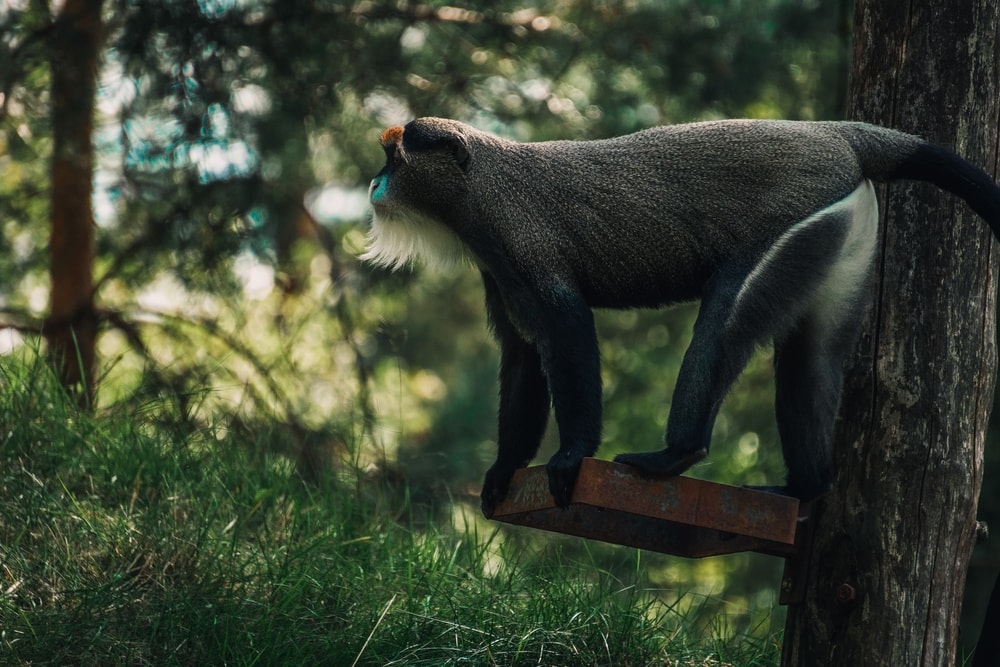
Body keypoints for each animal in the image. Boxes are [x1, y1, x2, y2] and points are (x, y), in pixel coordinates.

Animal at [361, 117, 1000, 518]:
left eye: (393, 155)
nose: (372, 182)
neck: (482, 184)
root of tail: (839, 135)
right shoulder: (501, 275)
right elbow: (523, 357)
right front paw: (503, 468)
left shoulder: (525, 248)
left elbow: (567, 333)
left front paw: (570, 455)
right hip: (841, 234)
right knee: (811, 358)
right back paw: (806, 485)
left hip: (796, 227)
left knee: (726, 321)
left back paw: (676, 454)